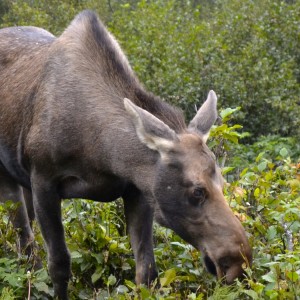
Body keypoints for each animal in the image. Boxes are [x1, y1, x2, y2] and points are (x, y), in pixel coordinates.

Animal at [0, 10, 252, 298]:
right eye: (197, 191)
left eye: (222, 181)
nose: (238, 262)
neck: (104, 153)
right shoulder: (44, 180)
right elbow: (59, 265)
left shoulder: (138, 189)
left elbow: (147, 271)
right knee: (24, 240)